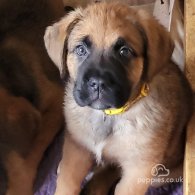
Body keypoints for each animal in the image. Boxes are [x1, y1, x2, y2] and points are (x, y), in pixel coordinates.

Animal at [45, 1, 193, 195]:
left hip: (157, 177)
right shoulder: (77, 148)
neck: (108, 115)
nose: (98, 84)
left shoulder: (137, 171)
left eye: (124, 51)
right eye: (80, 49)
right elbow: (67, 184)